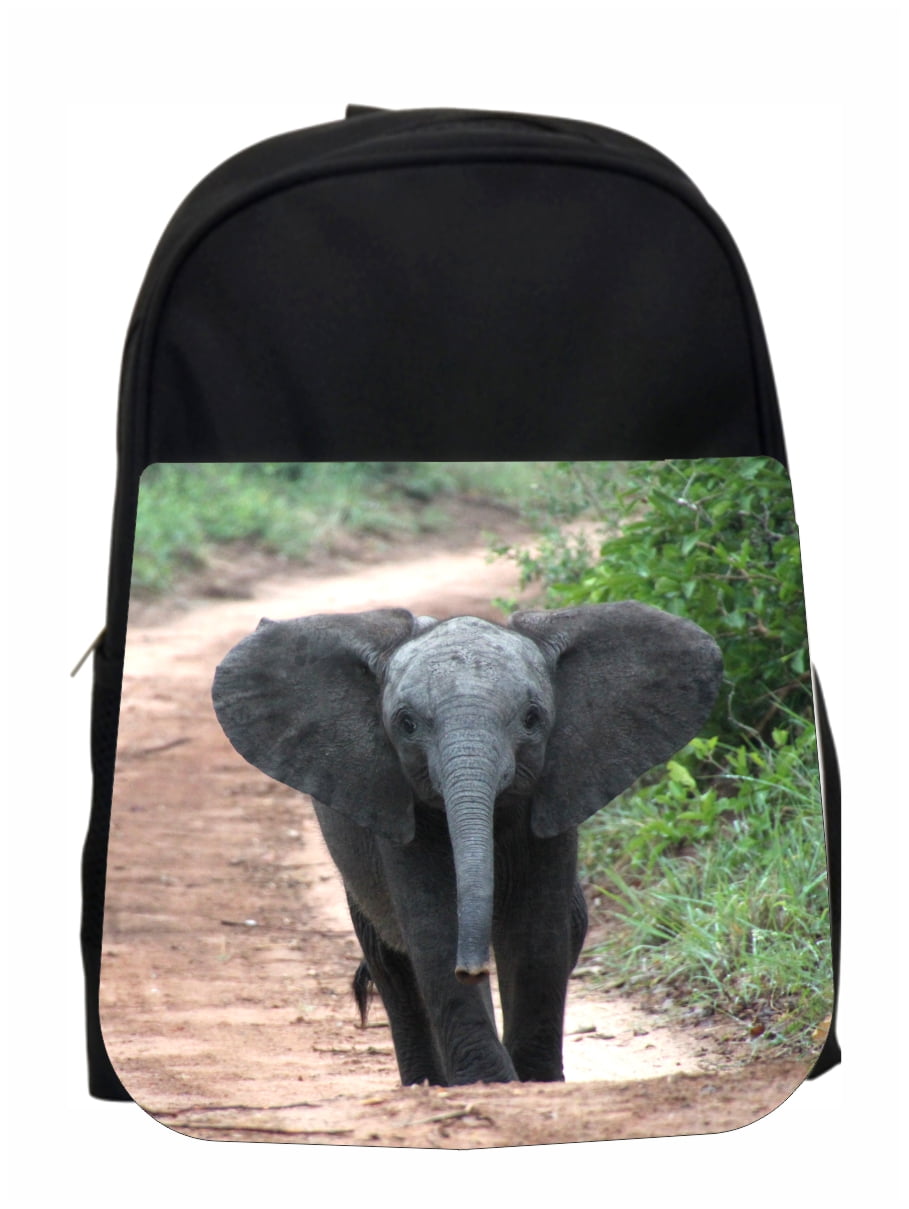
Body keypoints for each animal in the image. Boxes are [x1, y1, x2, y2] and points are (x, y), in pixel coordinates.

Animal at [212, 602, 722, 1087]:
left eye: (533, 719)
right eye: (407, 724)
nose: (473, 969)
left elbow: (537, 933)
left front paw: (536, 1081)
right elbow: (435, 928)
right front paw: (490, 1083)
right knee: (389, 962)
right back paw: (426, 1084)